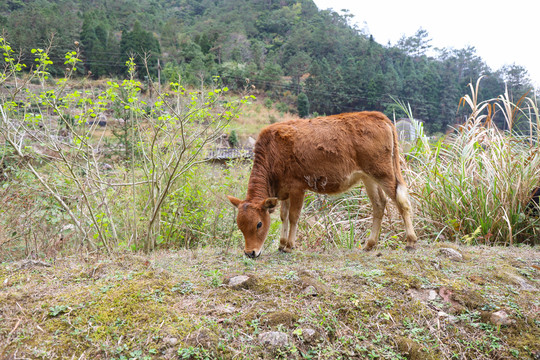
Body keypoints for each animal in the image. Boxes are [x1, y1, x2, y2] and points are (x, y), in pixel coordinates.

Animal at [228, 111, 418, 258]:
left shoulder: (297, 187)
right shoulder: (283, 190)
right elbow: (283, 216)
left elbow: (294, 216)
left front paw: (289, 246)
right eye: (240, 225)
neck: (273, 151)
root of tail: (378, 115)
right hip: (369, 177)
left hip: (384, 172)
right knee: (379, 204)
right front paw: (281, 245)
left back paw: (410, 241)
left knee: (402, 201)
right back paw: (370, 244)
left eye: (259, 224)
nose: (250, 253)